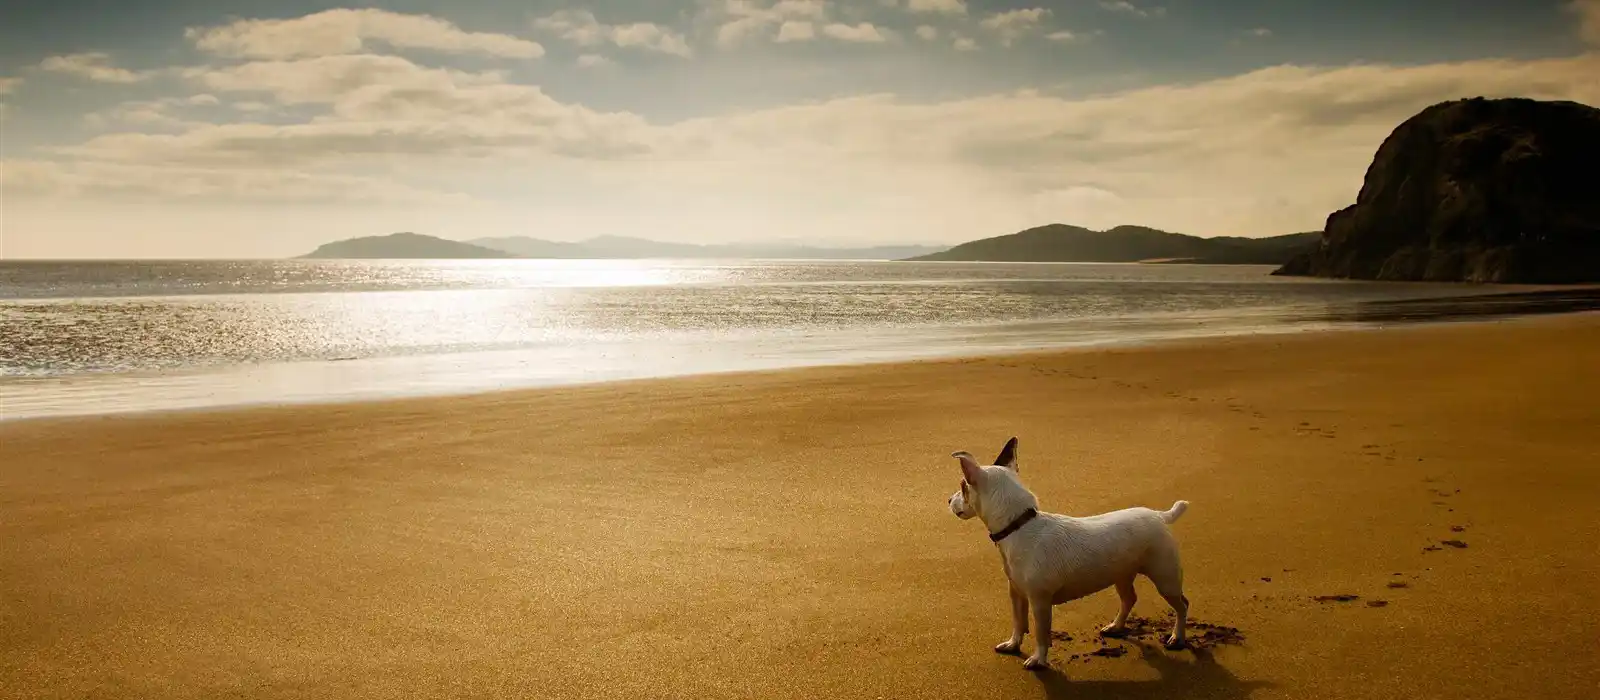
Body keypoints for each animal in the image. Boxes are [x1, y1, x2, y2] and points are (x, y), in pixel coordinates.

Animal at [947, 434, 1190, 671]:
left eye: (963, 486)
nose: (948, 500)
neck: (1019, 525)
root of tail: (1159, 516)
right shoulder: (1016, 593)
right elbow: (1018, 622)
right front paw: (1013, 644)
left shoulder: (1040, 601)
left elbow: (1041, 633)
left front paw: (1038, 659)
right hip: (1121, 574)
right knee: (1129, 599)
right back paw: (1116, 626)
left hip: (1165, 579)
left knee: (1181, 605)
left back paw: (1177, 637)